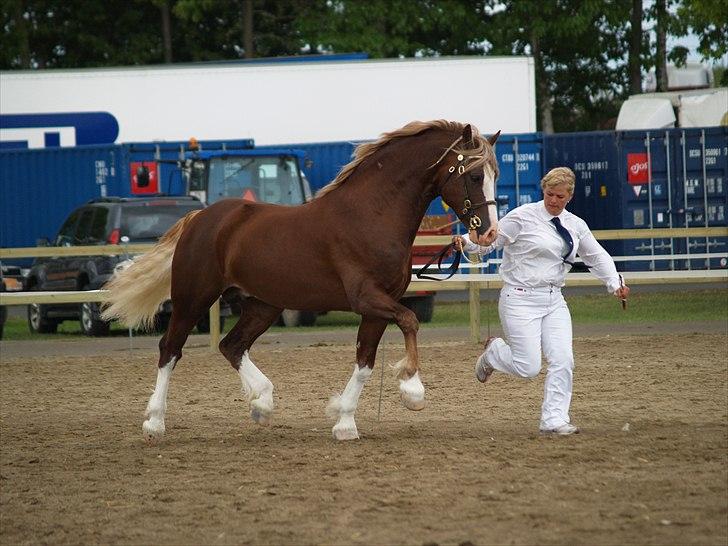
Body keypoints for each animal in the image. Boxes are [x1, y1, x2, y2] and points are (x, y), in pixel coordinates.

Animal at [104, 119, 500, 438]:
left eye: (494, 175)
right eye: (474, 175)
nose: (488, 234)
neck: (371, 214)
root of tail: (200, 217)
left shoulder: (377, 306)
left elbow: (365, 363)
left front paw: (344, 422)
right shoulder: (367, 298)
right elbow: (410, 321)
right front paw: (412, 391)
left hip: (262, 304)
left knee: (231, 345)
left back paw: (262, 403)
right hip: (193, 296)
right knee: (170, 349)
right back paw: (155, 422)